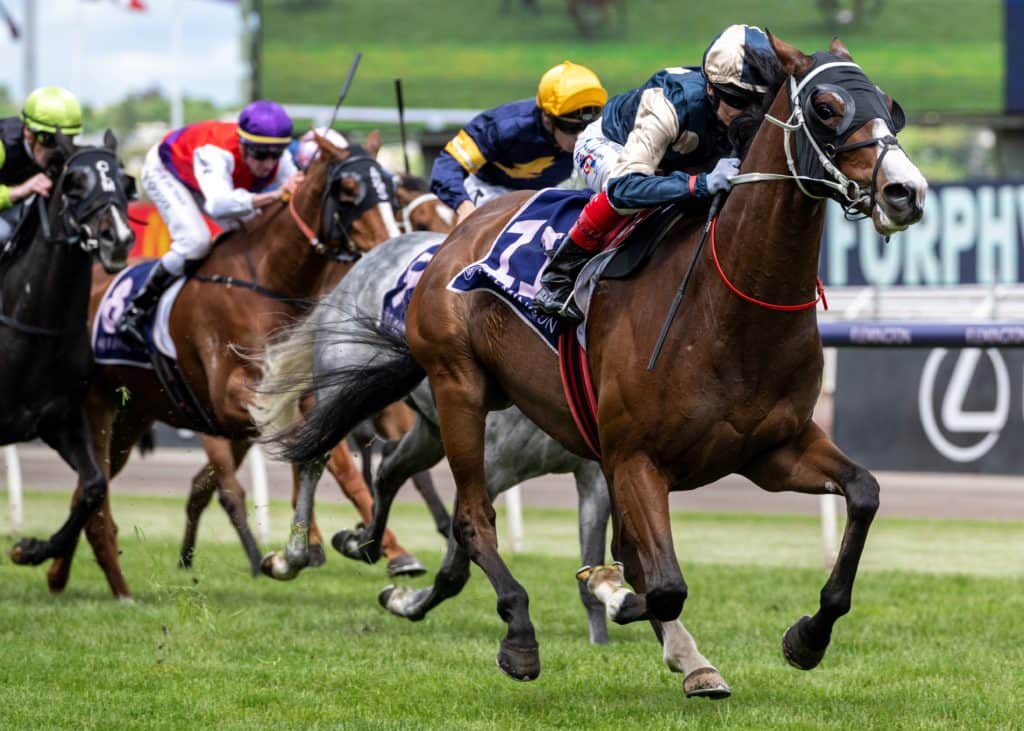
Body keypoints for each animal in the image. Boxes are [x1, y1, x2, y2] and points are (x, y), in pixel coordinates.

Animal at [2, 134, 136, 565]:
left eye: (125, 182)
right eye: (74, 184)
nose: (118, 239)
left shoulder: (58, 418)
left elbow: (94, 485)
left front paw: (32, 548)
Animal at [272, 35, 929, 688]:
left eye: (893, 108)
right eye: (825, 106)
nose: (907, 191)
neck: (730, 310)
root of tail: (455, 235)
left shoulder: (771, 450)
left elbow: (864, 493)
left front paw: (805, 637)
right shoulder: (633, 457)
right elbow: (659, 583)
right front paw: (635, 609)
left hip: (458, 410)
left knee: (392, 469)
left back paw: (369, 553)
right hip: (459, 387)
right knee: (466, 515)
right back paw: (511, 630)